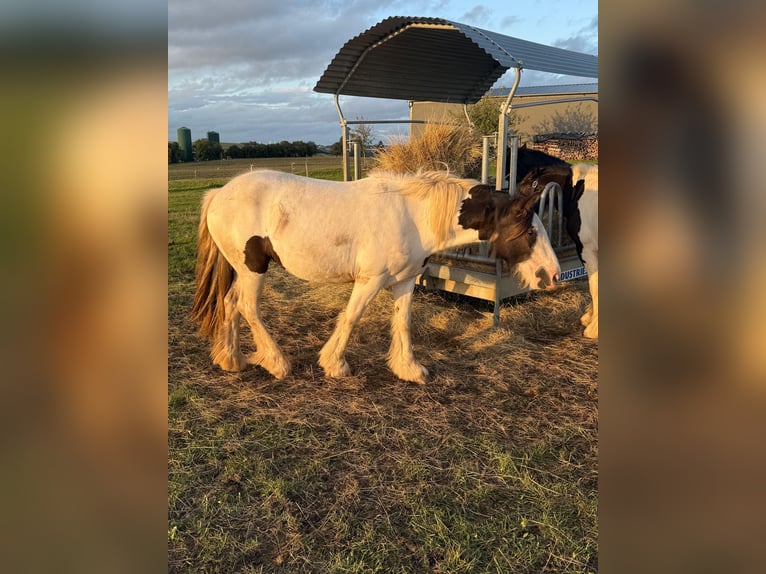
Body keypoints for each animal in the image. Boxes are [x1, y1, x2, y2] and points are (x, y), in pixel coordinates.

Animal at [191, 169, 561, 384]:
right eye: (530, 231)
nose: (553, 275)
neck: (413, 215)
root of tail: (218, 194)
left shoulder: (404, 281)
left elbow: (403, 323)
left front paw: (409, 369)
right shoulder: (370, 280)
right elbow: (351, 317)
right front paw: (334, 364)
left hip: (242, 270)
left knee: (230, 304)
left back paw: (232, 359)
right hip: (253, 268)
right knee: (247, 307)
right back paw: (277, 363)